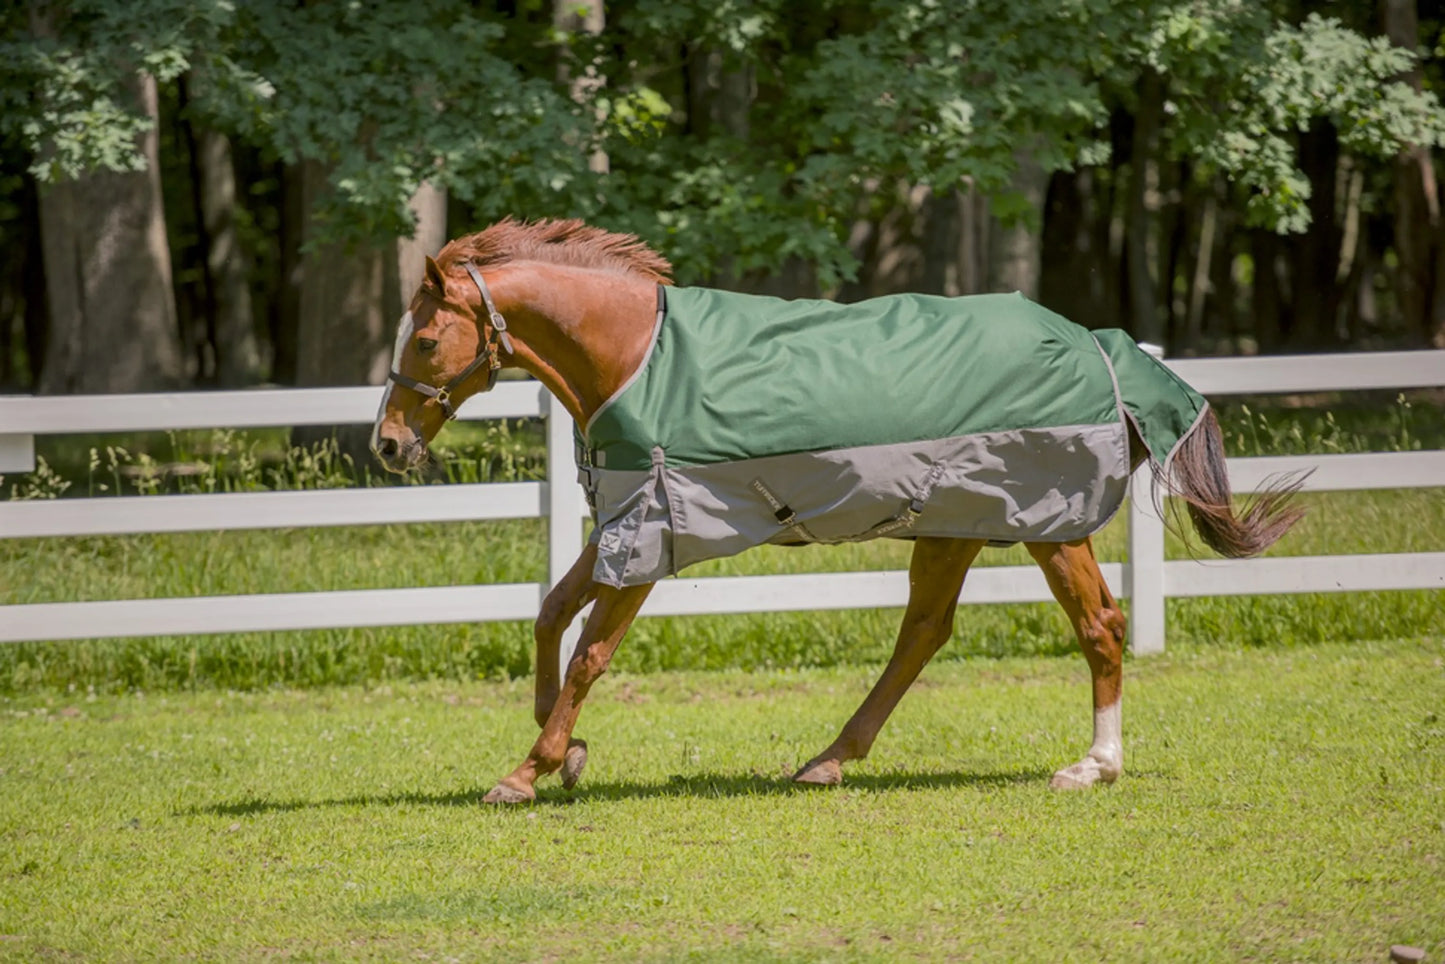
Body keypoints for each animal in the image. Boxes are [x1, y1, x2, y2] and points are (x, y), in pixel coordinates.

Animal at [371, 218, 1302, 805]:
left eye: (426, 338)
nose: (386, 444)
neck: (634, 356)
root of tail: (1101, 345)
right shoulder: (619, 522)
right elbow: (550, 612)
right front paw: (565, 753)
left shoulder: (650, 532)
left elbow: (590, 653)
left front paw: (526, 771)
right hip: (953, 524)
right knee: (921, 634)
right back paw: (827, 762)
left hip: (1049, 521)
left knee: (1099, 626)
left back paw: (1092, 767)